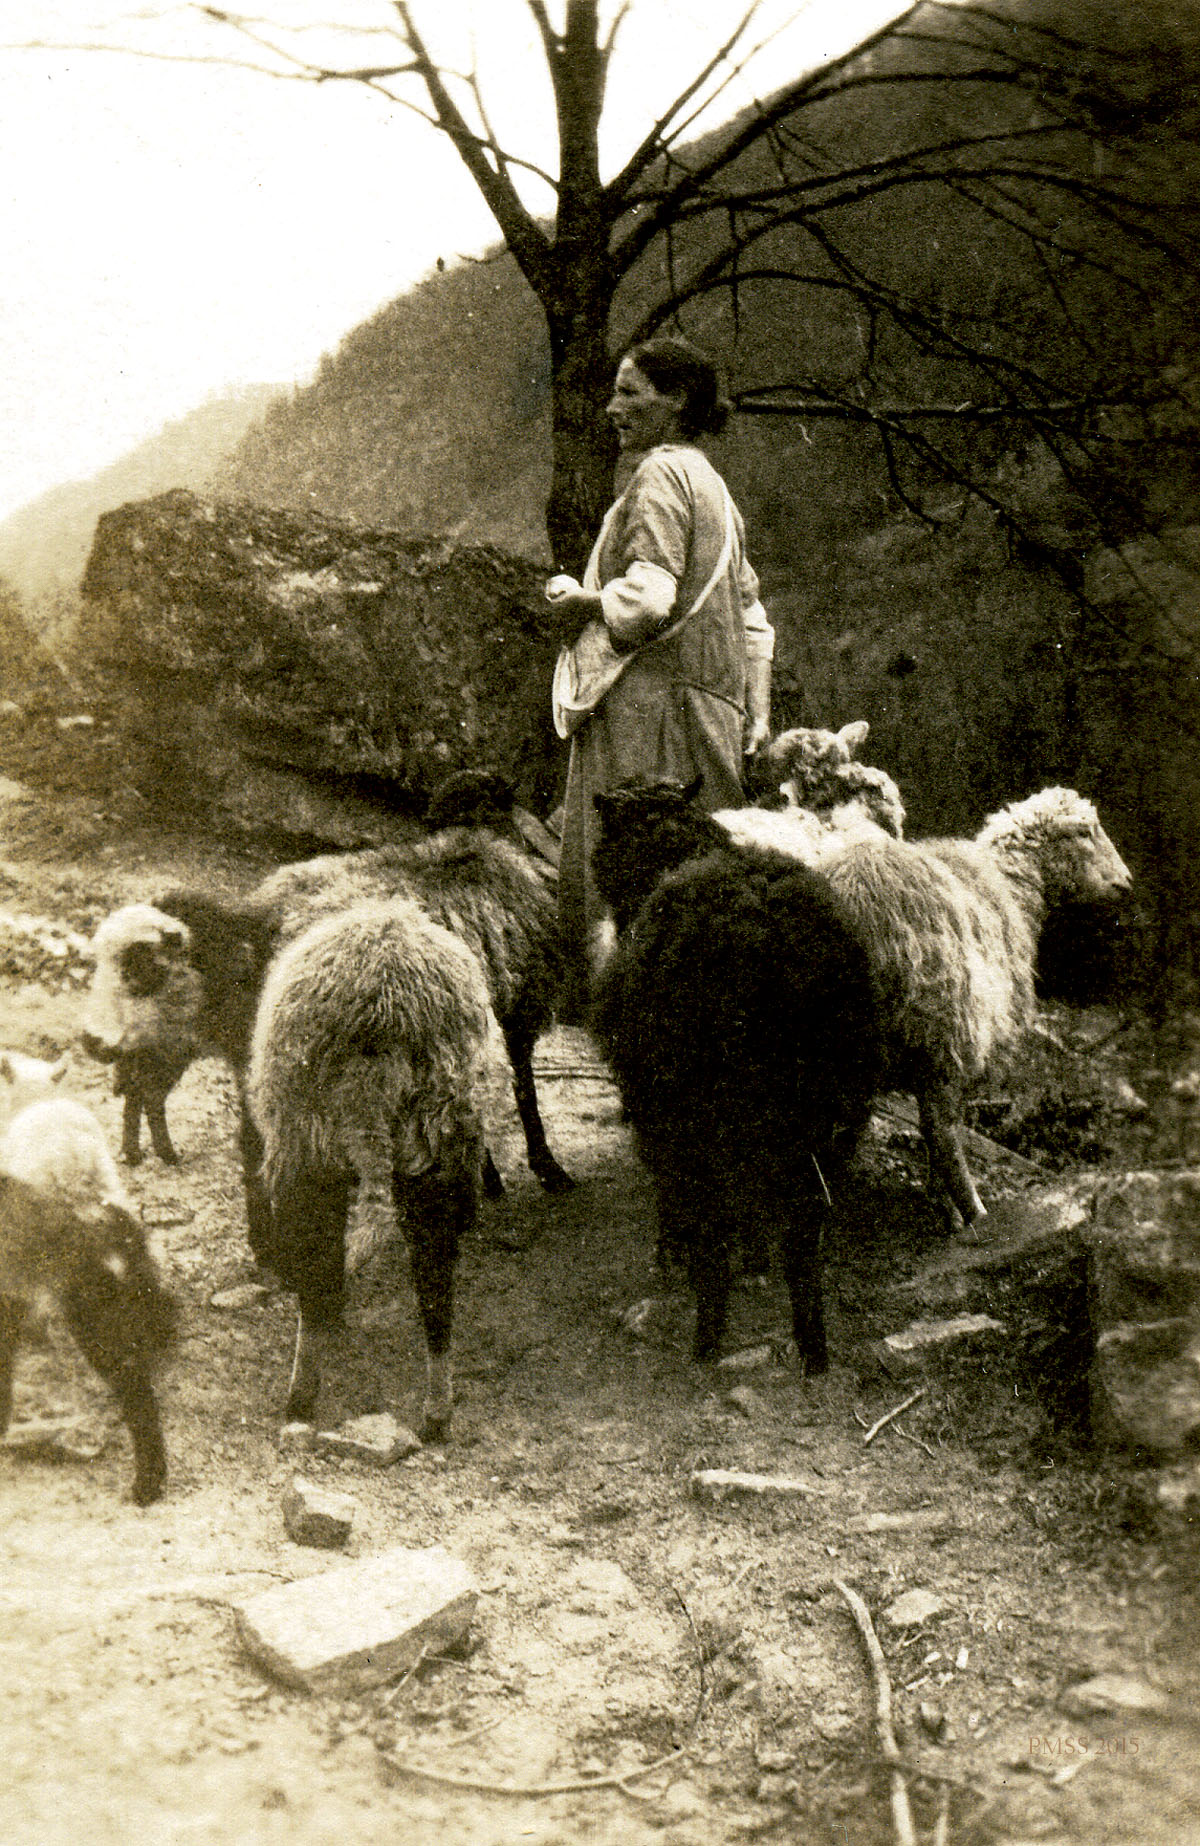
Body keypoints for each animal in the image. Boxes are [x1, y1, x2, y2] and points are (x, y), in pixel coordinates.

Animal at [245, 898, 490, 1439]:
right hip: (435, 1131)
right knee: (433, 1271)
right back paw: (435, 1410)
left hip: (307, 1141)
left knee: (320, 1264)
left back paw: (302, 1396)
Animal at [590, 787, 883, 1370]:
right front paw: (755, 1262)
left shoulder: (659, 1115)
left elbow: (683, 1200)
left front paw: (672, 1252)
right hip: (828, 1111)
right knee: (805, 1227)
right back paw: (813, 1347)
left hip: (702, 1107)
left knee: (714, 1224)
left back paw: (707, 1337)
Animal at [591, 778, 1132, 1232]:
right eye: (1085, 831)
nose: (1126, 883)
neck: (1010, 887)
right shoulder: (952, 1038)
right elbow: (943, 1127)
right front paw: (949, 1203)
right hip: (931, 1020)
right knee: (938, 1127)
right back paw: (970, 1212)